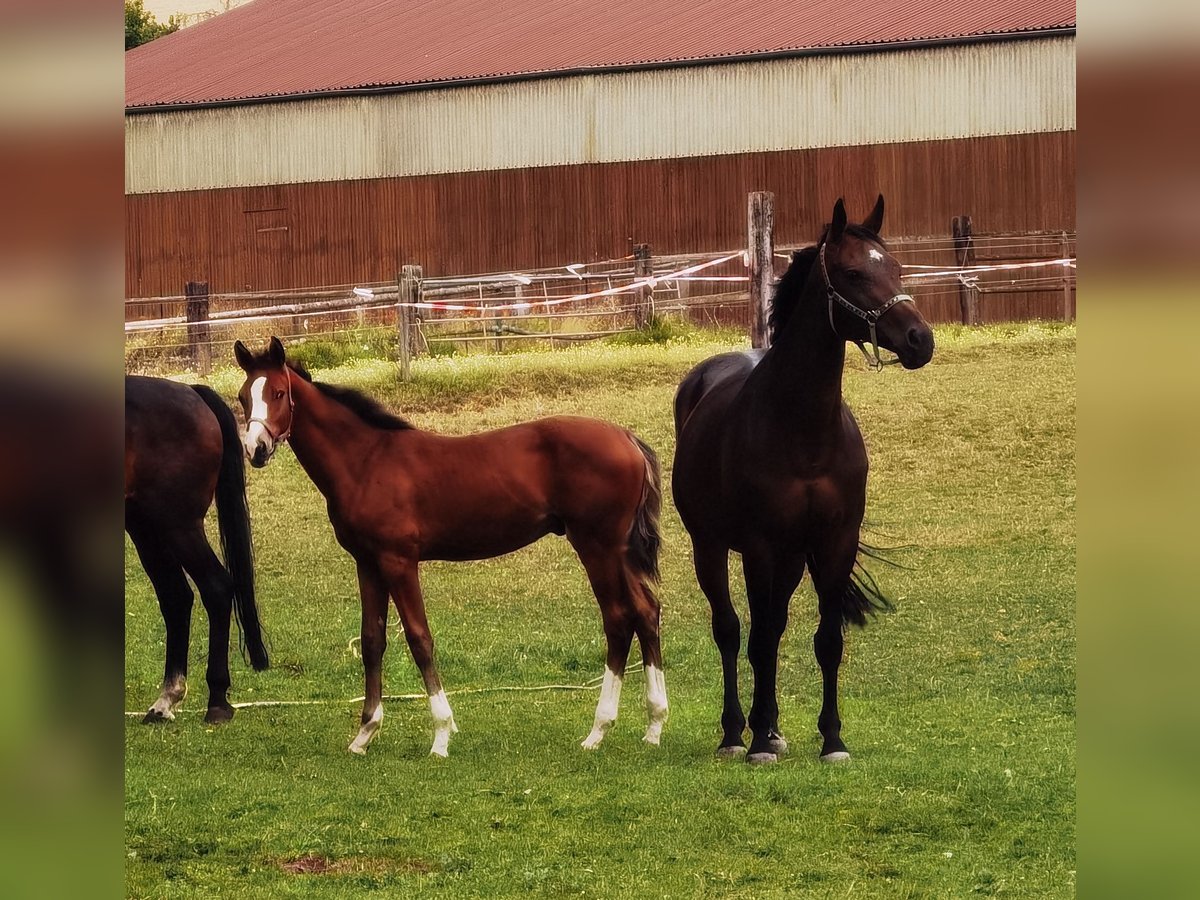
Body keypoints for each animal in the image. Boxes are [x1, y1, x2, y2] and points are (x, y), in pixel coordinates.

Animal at [125, 374, 268, 724]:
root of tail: (190, 391)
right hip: (144, 526)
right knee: (176, 596)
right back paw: (165, 701)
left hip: (178, 525)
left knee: (215, 587)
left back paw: (216, 700)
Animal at [234, 340, 667, 763]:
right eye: (242, 397)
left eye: (278, 393)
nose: (256, 449)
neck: (367, 462)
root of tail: (627, 438)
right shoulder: (368, 563)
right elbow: (372, 640)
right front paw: (365, 733)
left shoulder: (399, 562)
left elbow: (419, 638)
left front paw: (441, 735)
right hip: (618, 552)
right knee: (645, 612)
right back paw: (653, 725)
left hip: (597, 547)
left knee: (618, 619)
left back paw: (598, 730)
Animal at [676, 195, 936, 763]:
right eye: (854, 273)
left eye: (897, 268)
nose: (920, 340)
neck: (804, 433)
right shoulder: (758, 547)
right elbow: (754, 639)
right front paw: (756, 743)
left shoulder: (833, 543)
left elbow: (826, 642)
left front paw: (832, 739)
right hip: (712, 547)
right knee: (731, 631)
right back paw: (738, 733)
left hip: (792, 559)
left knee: (773, 629)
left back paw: (770, 727)